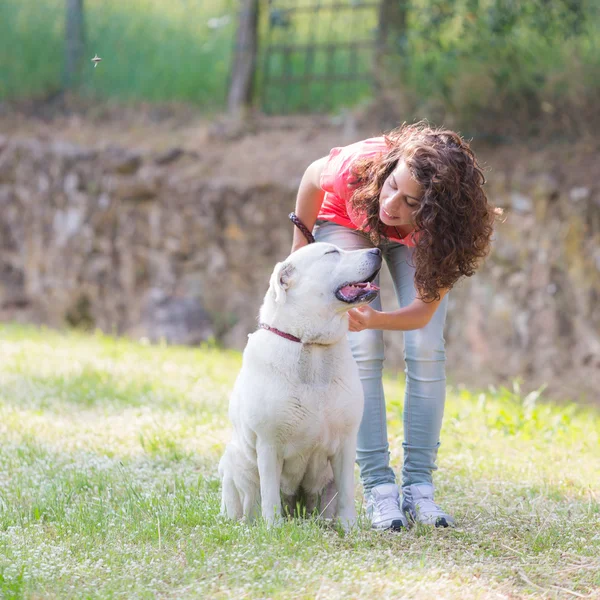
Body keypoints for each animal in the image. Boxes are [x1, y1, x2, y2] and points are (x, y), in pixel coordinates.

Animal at [218, 241, 382, 528]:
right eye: (331, 253)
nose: (377, 250)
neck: (311, 344)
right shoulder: (268, 444)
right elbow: (270, 494)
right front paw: (273, 529)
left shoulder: (346, 443)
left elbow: (347, 492)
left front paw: (349, 527)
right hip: (234, 462)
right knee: (247, 500)